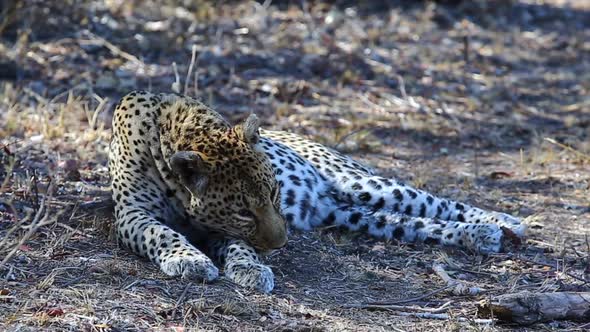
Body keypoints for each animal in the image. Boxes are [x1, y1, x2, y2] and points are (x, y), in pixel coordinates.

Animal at [110, 90, 528, 294]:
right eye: (243, 211)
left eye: (275, 193)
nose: (281, 244)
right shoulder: (133, 215)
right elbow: (161, 233)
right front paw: (191, 260)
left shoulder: (217, 228)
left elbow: (240, 247)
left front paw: (250, 269)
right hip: (351, 213)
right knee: (409, 222)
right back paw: (482, 234)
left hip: (361, 183)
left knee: (431, 201)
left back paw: (504, 221)